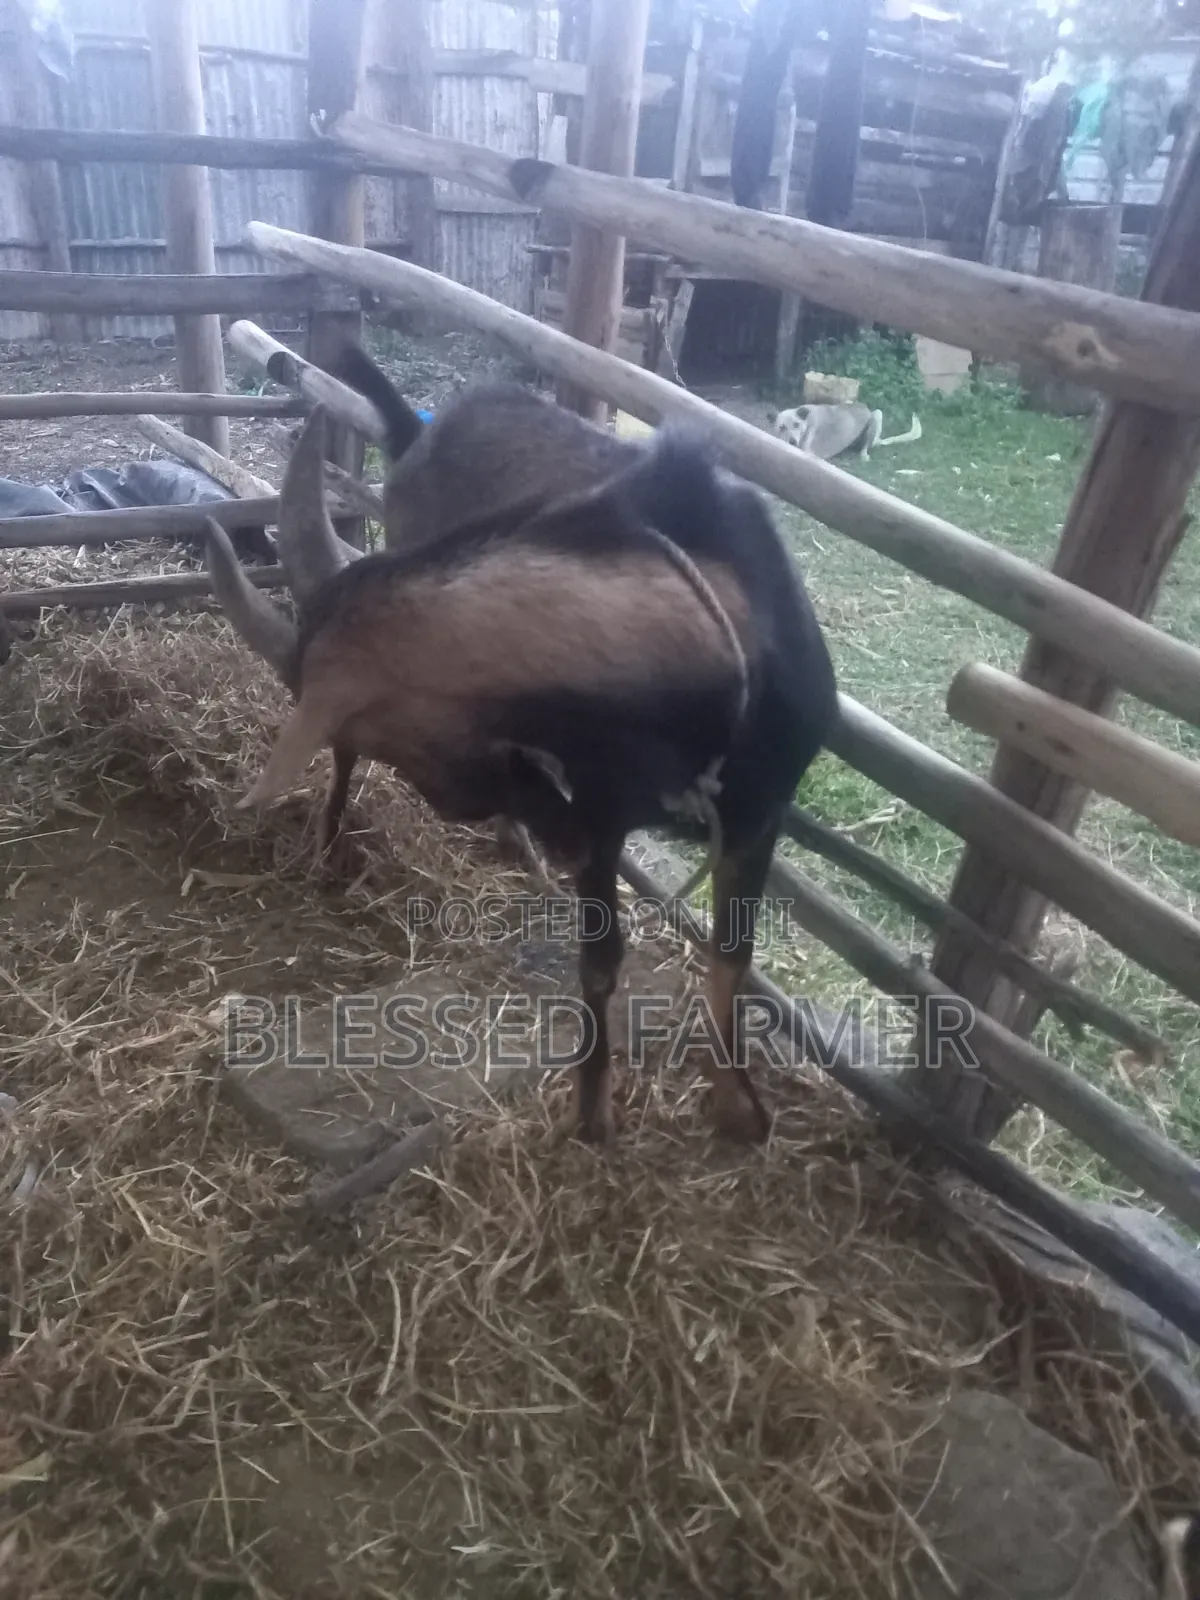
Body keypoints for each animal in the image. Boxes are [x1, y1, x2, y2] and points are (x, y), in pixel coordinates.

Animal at [205, 402, 838, 1145]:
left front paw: (739, 1107)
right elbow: (601, 960)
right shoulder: (601, 811)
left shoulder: (757, 811)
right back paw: (332, 841)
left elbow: (733, 955)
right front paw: (591, 1113)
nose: (561, 839)